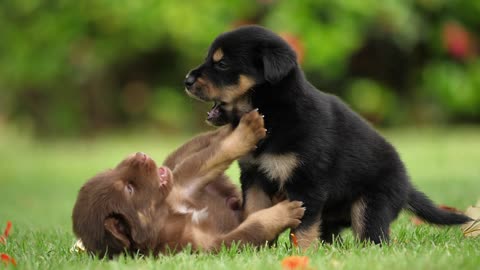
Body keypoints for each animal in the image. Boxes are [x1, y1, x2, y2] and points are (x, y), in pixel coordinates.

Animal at [72, 111, 304, 258]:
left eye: (113, 169)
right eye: (129, 189)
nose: (140, 155)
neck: (167, 215)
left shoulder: (184, 187)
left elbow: (213, 154)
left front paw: (244, 130)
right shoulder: (208, 246)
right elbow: (251, 229)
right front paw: (283, 213)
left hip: (177, 167)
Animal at [185, 26, 472, 248]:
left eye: (222, 63)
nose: (186, 80)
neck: (274, 114)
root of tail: (406, 183)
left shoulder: (307, 182)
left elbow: (302, 229)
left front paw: (301, 255)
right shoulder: (254, 177)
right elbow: (254, 212)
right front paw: (257, 247)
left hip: (371, 205)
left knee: (373, 237)